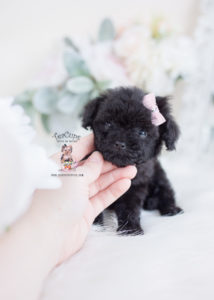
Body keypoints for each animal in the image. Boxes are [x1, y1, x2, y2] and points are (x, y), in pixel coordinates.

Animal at [81, 86, 182, 234]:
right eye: (108, 124)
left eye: (142, 132)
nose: (119, 143)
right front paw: (96, 226)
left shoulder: (135, 186)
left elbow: (129, 207)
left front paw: (130, 230)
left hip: (158, 174)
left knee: (165, 190)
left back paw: (170, 208)